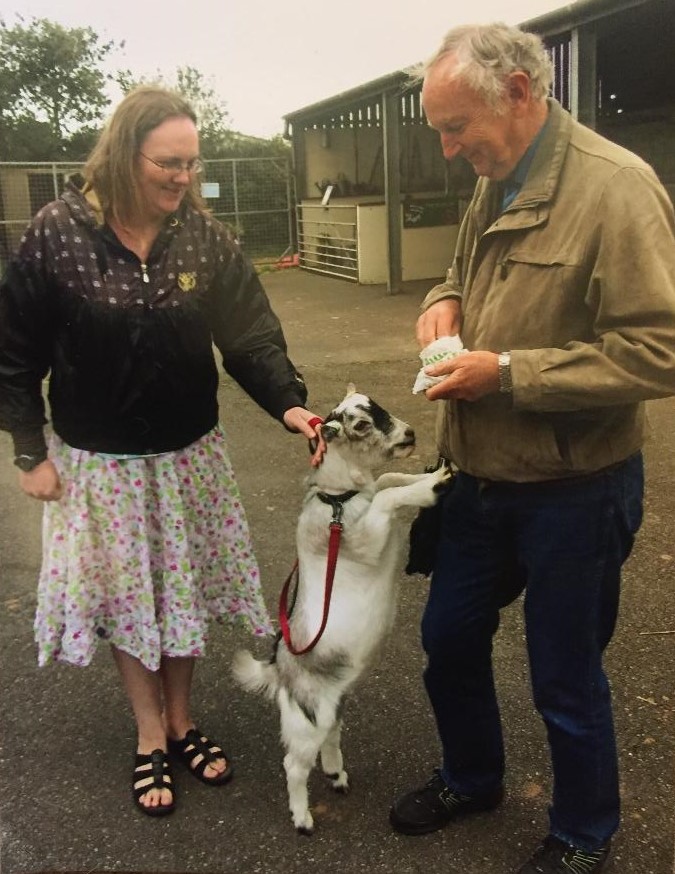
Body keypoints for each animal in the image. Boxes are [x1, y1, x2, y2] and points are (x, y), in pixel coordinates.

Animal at [232, 386, 448, 832]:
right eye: (361, 425)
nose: (409, 434)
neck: (338, 500)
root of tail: (280, 669)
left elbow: (389, 480)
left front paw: (432, 477)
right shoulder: (365, 539)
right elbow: (387, 493)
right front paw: (433, 484)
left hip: (333, 704)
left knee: (332, 736)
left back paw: (336, 774)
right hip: (306, 720)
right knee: (294, 765)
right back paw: (302, 817)